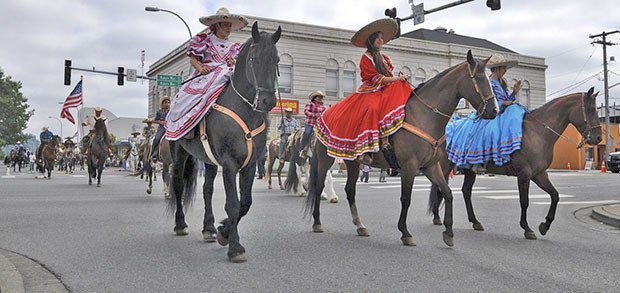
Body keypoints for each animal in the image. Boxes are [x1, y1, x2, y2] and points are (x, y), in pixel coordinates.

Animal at [306, 50, 498, 246]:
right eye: (480, 78)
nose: (494, 110)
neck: (423, 116)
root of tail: (323, 114)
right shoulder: (409, 166)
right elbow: (406, 199)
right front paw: (405, 232)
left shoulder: (430, 166)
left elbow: (448, 193)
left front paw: (449, 233)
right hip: (325, 158)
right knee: (319, 186)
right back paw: (317, 222)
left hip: (353, 162)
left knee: (350, 190)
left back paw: (360, 226)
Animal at [428, 88, 604, 238]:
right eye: (590, 110)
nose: (598, 137)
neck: (537, 133)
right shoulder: (524, 174)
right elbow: (524, 202)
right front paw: (527, 228)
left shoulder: (539, 174)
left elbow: (555, 196)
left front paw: (545, 225)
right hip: (444, 167)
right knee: (440, 187)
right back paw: (437, 218)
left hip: (469, 170)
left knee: (465, 191)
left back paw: (475, 222)